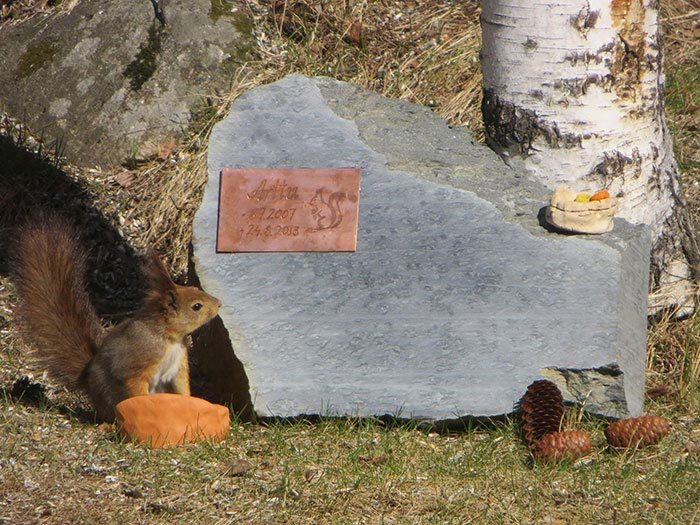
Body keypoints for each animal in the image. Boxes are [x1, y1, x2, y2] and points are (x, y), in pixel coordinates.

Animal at [11, 214, 222, 422]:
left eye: (194, 288)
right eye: (196, 306)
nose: (219, 303)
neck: (168, 338)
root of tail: (88, 383)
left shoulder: (178, 366)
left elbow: (181, 386)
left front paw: (192, 404)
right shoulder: (138, 359)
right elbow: (134, 383)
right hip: (110, 398)